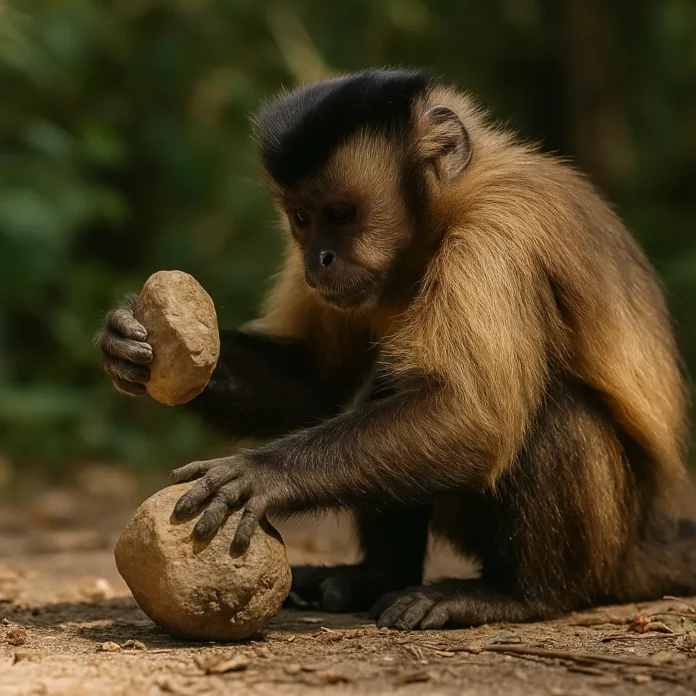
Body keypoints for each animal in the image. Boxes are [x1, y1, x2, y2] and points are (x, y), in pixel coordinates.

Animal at [97, 68, 696, 630]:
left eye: (340, 214)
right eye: (302, 219)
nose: (318, 259)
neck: (443, 215)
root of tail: (645, 543)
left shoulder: (497, 234)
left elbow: (472, 416)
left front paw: (264, 474)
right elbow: (312, 383)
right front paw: (127, 340)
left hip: (609, 545)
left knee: (549, 412)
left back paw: (520, 596)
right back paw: (376, 577)